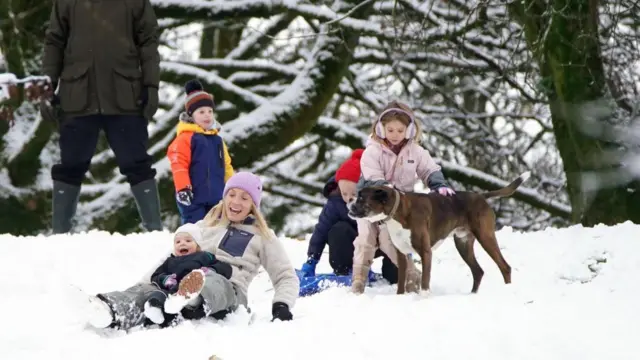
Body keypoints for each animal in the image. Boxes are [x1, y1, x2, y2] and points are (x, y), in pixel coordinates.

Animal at [348, 173, 528, 294]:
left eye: (361, 198)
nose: (349, 202)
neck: (399, 211)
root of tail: (481, 196)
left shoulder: (425, 252)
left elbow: (425, 280)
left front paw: (423, 298)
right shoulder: (401, 254)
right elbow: (401, 281)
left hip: (486, 237)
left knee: (505, 267)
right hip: (463, 244)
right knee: (478, 271)